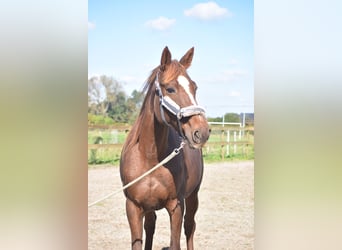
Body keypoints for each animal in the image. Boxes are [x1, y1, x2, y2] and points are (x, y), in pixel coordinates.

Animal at [120, 47, 211, 250]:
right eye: (170, 89)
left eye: (194, 87)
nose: (201, 132)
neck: (150, 156)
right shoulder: (133, 207)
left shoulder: (176, 205)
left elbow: (176, 241)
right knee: (151, 226)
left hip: (193, 196)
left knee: (190, 226)